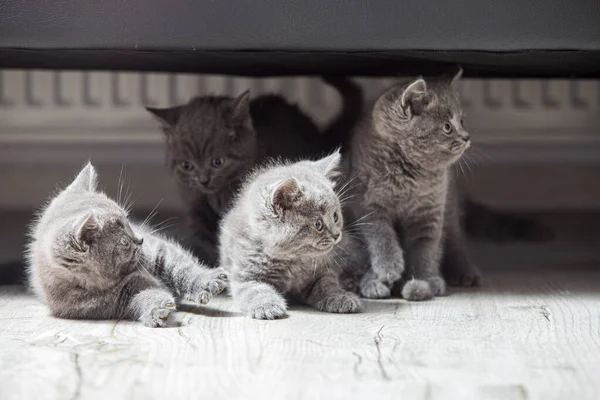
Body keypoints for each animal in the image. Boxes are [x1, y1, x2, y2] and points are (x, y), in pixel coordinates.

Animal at [25, 163, 229, 328]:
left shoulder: (157, 249)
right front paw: (156, 309)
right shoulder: (110, 303)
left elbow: (180, 267)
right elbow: (139, 298)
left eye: (128, 222)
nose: (140, 239)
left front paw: (207, 280)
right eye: (123, 241)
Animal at [145, 78, 360, 266]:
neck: (216, 195)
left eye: (217, 162)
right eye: (186, 166)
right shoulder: (195, 206)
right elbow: (201, 237)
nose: (203, 180)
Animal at [218, 152, 364, 320]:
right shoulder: (245, 276)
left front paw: (341, 297)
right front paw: (267, 306)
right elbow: (256, 290)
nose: (336, 235)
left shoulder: (323, 270)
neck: (294, 261)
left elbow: (327, 284)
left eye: (335, 217)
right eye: (318, 224)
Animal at [346, 68, 478, 300]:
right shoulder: (367, 204)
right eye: (447, 127)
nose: (466, 137)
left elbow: (426, 248)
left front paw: (425, 281)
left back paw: (465, 271)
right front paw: (388, 268)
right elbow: (380, 234)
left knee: (456, 239)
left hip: (450, 206)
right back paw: (372, 282)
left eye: (462, 121)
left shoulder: (430, 212)